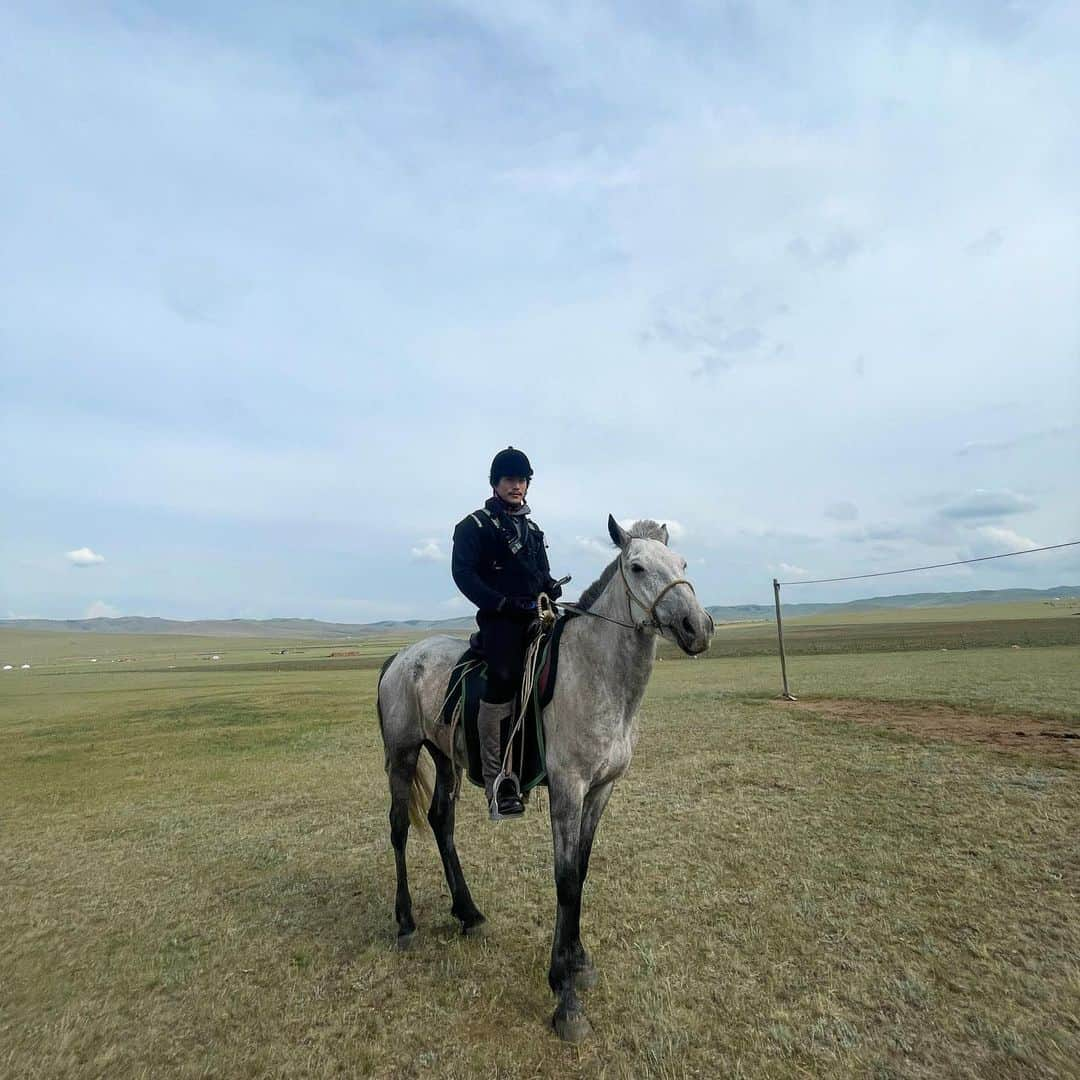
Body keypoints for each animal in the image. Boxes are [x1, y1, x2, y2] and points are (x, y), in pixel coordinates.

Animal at [375, 518, 712, 1041]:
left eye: (682, 563)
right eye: (637, 567)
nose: (698, 627)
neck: (595, 676)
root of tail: (399, 658)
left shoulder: (601, 790)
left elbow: (583, 870)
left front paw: (579, 962)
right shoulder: (568, 790)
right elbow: (566, 878)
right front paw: (565, 994)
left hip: (445, 757)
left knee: (441, 821)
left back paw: (469, 914)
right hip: (403, 754)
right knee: (398, 828)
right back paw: (406, 923)